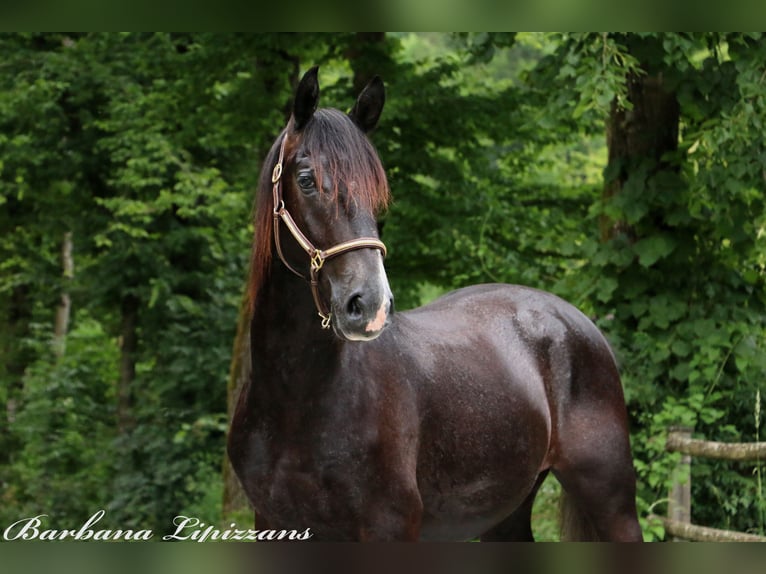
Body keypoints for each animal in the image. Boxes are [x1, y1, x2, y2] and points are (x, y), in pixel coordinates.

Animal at [226, 67, 640, 544]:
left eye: (379, 191)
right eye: (307, 179)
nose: (370, 305)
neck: (296, 402)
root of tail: (574, 320)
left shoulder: (389, 527)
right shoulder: (271, 523)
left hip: (611, 501)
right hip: (506, 513)